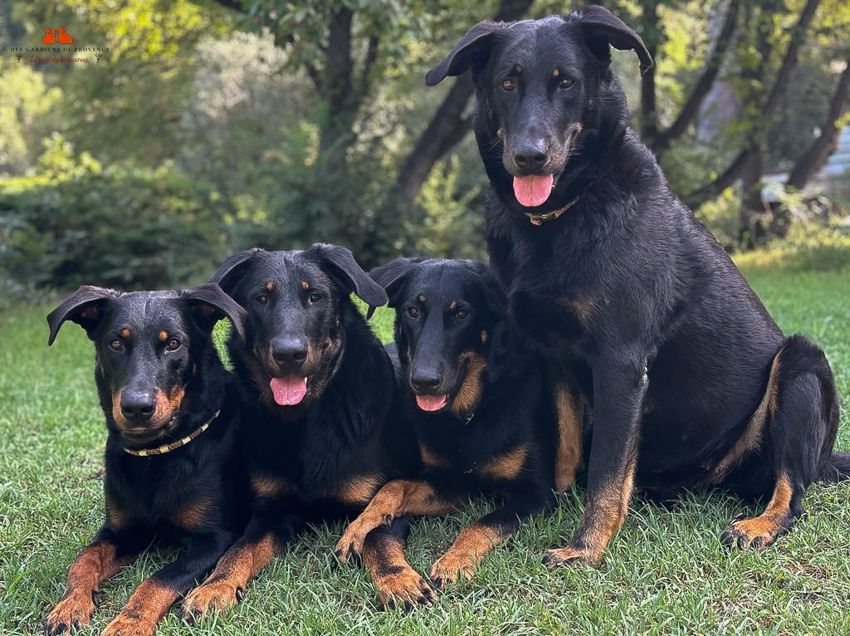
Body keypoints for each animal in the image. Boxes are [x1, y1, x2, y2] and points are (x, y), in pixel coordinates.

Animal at [44, 284, 248, 636]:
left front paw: (129, 623)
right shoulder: (121, 531)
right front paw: (69, 606)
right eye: (116, 343)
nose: (137, 407)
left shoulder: (214, 538)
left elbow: (158, 580)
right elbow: (84, 559)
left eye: (173, 344)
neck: (156, 455)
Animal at [181, 243, 428, 616]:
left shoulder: (381, 495)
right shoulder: (270, 509)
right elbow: (238, 550)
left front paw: (398, 580)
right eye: (261, 298)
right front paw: (215, 586)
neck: (307, 418)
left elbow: (376, 534)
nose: (289, 354)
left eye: (315, 297)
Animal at [334, 258, 560, 596]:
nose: (423, 381)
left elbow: (481, 524)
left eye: (461, 314)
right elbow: (395, 486)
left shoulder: (535, 495)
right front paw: (359, 526)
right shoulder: (452, 485)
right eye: (413, 311)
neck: (468, 415)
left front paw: (454, 562)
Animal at [428, 6, 844, 568]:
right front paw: (555, 499)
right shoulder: (552, 354)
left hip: (801, 365)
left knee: (792, 487)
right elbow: (567, 446)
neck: (565, 214)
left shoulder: (620, 362)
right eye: (507, 83)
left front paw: (585, 548)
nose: (530, 156)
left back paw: (761, 523)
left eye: (566, 82)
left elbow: (607, 470)